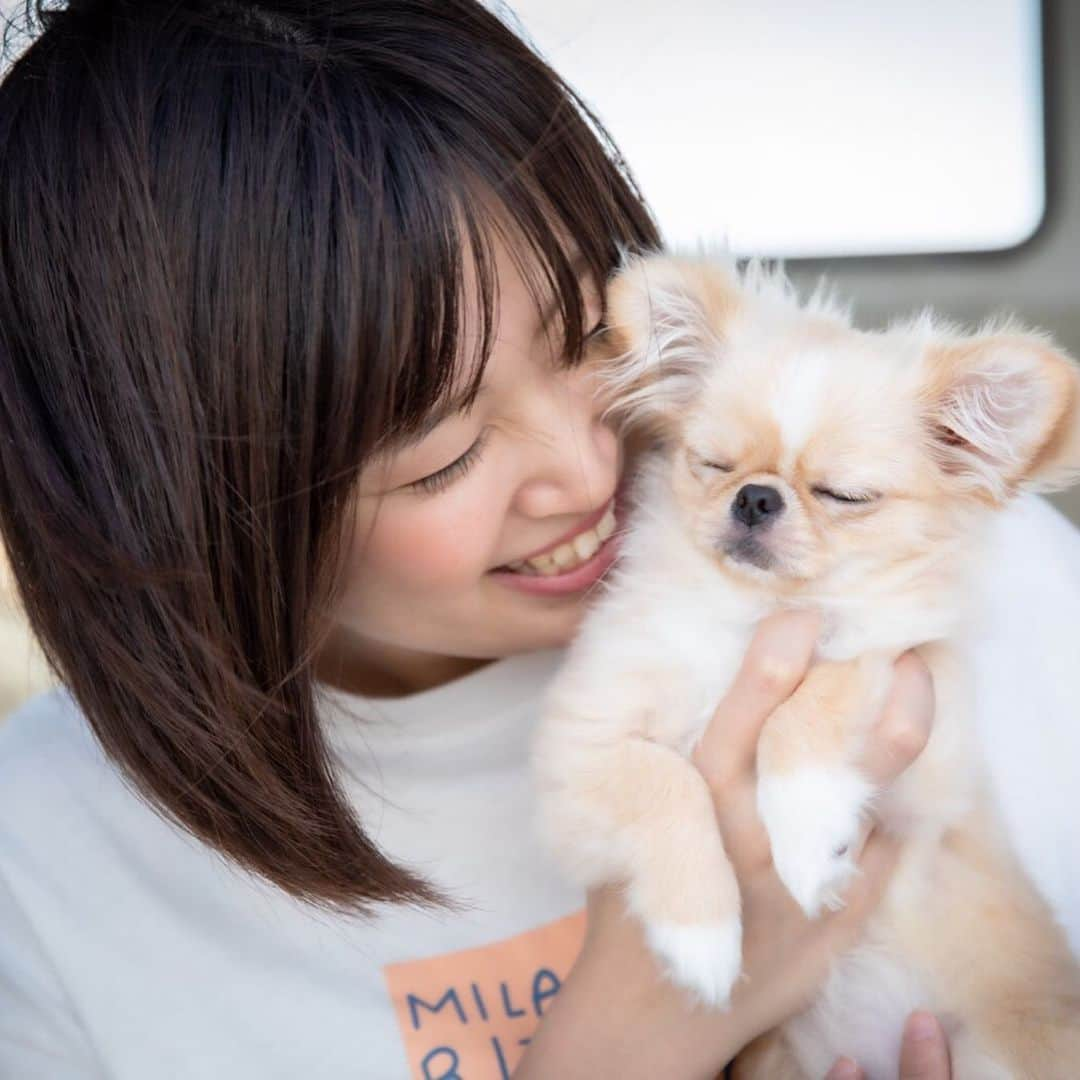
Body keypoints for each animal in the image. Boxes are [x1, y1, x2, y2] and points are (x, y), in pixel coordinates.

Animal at [535, 254, 1080, 1080]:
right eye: (714, 464)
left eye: (842, 495)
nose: (756, 498)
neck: (754, 618)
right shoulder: (576, 754)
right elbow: (665, 781)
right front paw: (703, 939)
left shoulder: (925, 737)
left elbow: (827, 681)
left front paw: (806, 829)